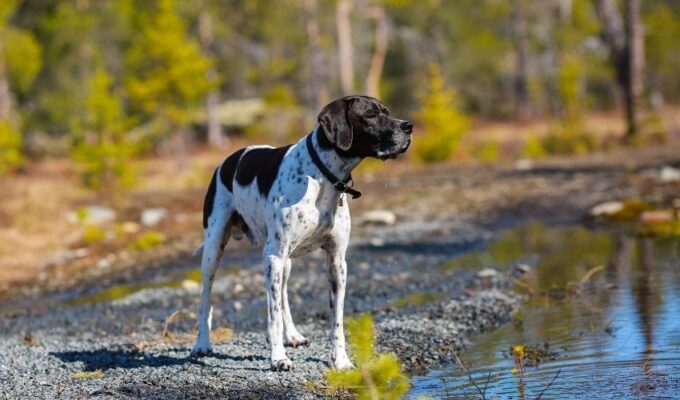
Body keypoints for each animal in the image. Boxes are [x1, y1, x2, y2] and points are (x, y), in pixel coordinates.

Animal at [191, 95, 414, 370]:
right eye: (371, 115)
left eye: (387, 112)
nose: (409, 126)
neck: (322, 176)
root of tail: (228, 160)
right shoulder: (274, 257)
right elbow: (272, 315)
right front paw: (278, 359)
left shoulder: (336, 262)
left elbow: (336, 320)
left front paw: (341, 361)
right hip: (215, 251)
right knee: (206, 299)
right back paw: (202, 344)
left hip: (283, 262)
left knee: (283, 294)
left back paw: (293, 335)